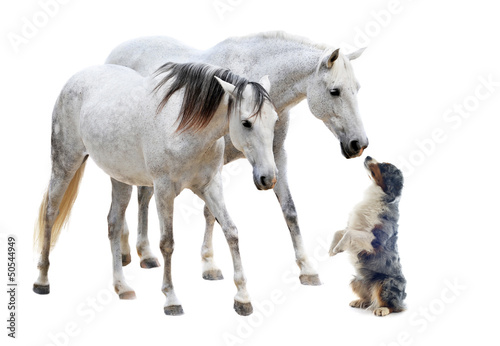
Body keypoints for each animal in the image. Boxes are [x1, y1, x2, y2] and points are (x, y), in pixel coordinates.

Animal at [33, 60, 280, 316]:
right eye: (246, 122)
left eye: (274, 121)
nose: (268, 178)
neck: (185, 127)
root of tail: (76, 79)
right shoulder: (164, 190)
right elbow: (167, 243)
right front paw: (171, 299)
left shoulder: (210, 186)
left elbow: (231, 232)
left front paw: (242, 298)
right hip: (65, 163)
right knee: (50, 213)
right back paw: (42, 280)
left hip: (120, 178)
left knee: (113, 223)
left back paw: (122, 287)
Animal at [106, 30, 372, 284]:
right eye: (335, 91)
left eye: (357, 89)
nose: (359, 144)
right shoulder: (214, 167)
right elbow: (210, 213)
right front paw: (209, 265)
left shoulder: (276, 156)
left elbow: (290, 211)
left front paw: (307, 269)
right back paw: (136, 252)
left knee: (141, 195)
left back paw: (137, 252)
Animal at [330, 156, 408, 316]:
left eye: (384, 166)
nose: (367, 156)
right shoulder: (353, 226)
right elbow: (340, 232)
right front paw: (331, 250)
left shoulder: (376, 240)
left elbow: (349, 233)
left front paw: (338, 248)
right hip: (356, 281)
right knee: (370, 298)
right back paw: (360, 301)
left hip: (386, 283)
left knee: (394, 306)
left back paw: (382, 309)